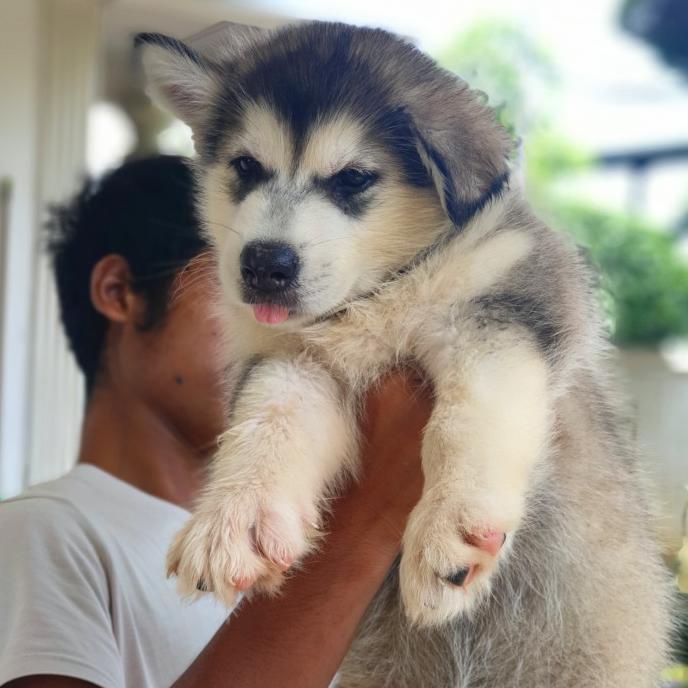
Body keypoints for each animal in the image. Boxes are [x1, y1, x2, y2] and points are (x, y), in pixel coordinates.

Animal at [137, 21, 672, 687]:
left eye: (352, 179)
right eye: (245, 166)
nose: (263, 265)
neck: (374, 298)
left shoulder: (506, 303)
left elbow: (466, 417)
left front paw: (451, 523)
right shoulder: (296, 361)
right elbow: (268, 418)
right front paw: (234, 520)